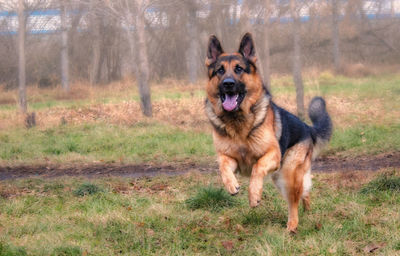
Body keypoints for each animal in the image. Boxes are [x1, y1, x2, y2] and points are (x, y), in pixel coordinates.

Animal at [205, 33, 332, 233]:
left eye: (239, 69)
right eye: (220, 71)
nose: (228, 84)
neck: (238, 122)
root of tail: (308, 127)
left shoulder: (272, 155)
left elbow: (257, 168)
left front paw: (254, 195)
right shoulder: (228, 158)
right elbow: (223, 167)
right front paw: (232, 185)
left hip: (287, 176)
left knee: (293, 202)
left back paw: (292, 226)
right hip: (281, 178)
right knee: (304, 193)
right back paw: (307, 211)